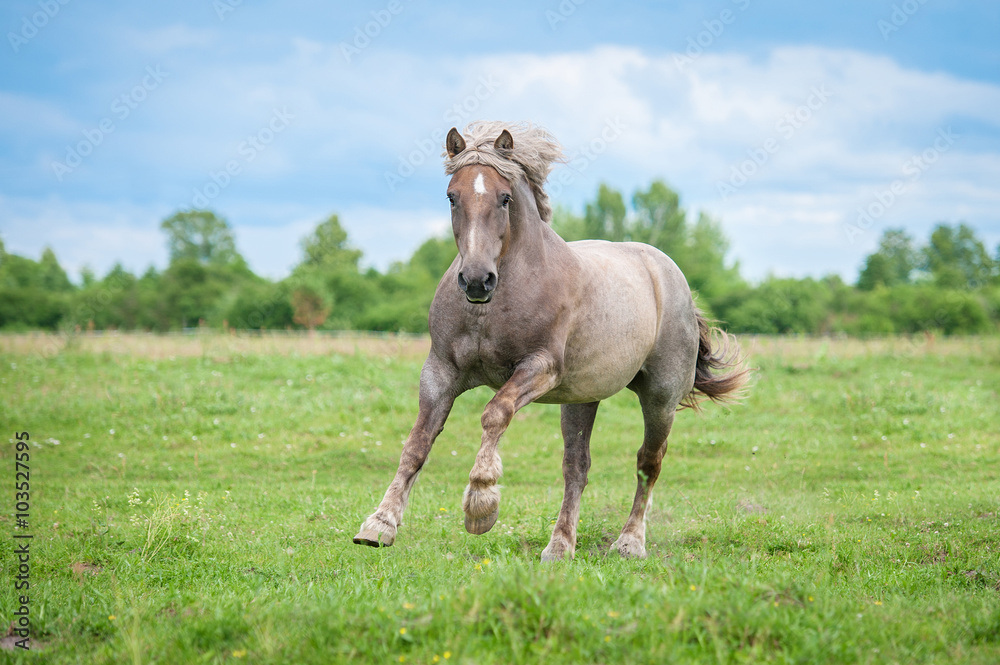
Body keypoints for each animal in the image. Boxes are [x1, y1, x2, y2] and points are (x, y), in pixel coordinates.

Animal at [354, 121, 749, 561]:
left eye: (505, 198)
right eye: (451, 196)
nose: (476, 280)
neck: (491, 306)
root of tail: (670, 275)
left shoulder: (539, 368)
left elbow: (495, 413)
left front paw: (481, 505)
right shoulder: (441, 371)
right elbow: (417, 443)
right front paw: (379, 525)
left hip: (660, 396)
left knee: (649, 462)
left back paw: (629, 542)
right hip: (580, 400)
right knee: (577, 467)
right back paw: (560, 546)